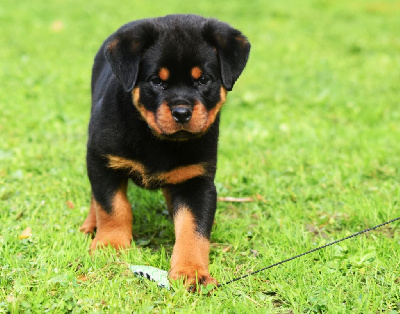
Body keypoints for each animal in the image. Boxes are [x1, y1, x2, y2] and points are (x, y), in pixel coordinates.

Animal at [79, 14, 250, 290]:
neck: (157, 139)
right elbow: (112, 206)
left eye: (203, 80)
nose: (182, 112)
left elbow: (193, 228)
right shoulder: (102, 160)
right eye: (156, 81)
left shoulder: (197, 180)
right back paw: (90, 224)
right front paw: (111, 246)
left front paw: (192, 272)